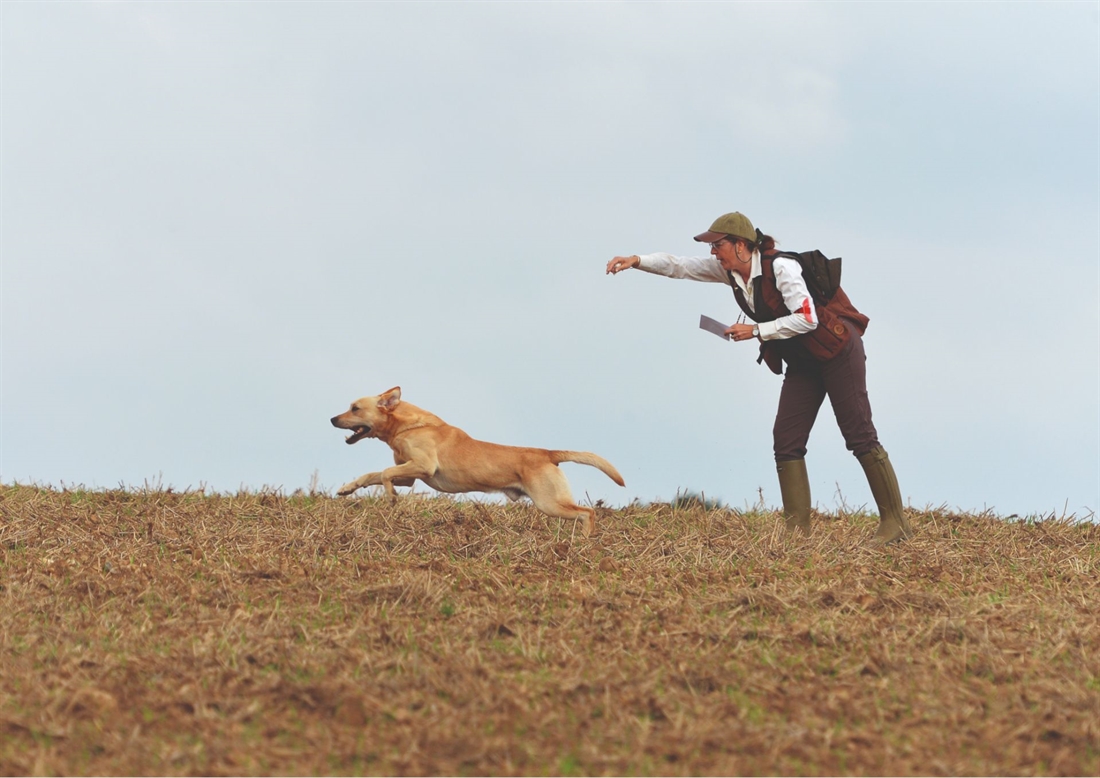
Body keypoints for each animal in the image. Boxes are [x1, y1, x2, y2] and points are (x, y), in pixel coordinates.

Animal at [327, 387, 629, 534]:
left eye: (355, 408)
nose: (331, 419)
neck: (406, 426)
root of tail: (547, 453)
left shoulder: (423, 467)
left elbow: (386, 473)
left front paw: (390, 498)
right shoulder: (410, 476)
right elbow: (374, 474)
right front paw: (347, 489)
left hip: (550, 502)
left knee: (587, 512)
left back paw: (585, 541)